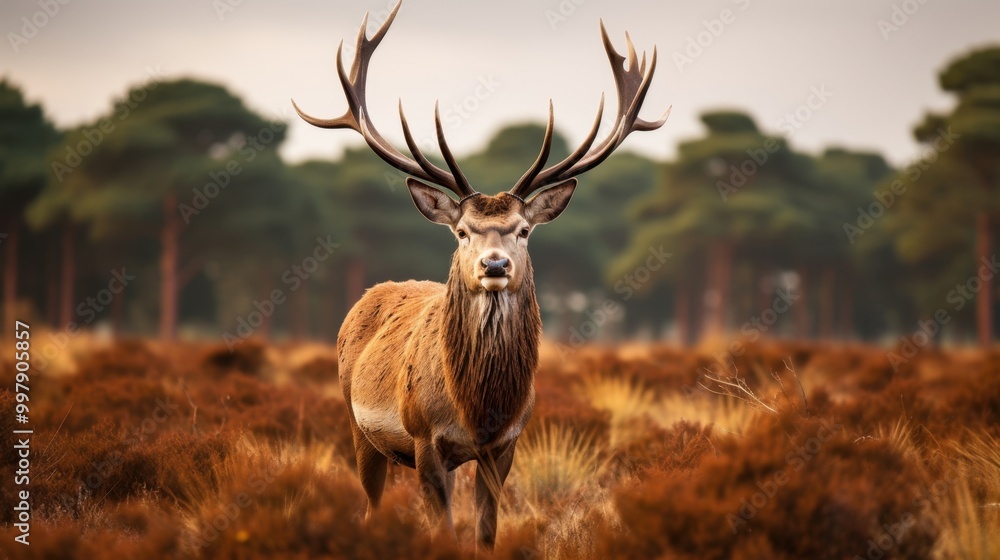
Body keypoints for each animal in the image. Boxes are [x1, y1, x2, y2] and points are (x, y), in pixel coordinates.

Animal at [292, 0, 668, 550]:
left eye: (523, 230)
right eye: (463, 231)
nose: (494, 264)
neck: (478, 409)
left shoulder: (504, 447)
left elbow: (486, 534)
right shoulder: (425, 440)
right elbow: (446, 534)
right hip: (358, 427)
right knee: (370, 507)